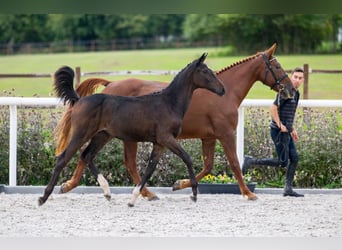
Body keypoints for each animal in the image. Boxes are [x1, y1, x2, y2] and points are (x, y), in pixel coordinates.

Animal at [38, 53, 224, 207]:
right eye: (205, 71)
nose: (222, 90)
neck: (169, 103)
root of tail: (79, 100)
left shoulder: (159, 143)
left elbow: (149, 169)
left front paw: (134, 199)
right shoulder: (167, 138)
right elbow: (187, 158)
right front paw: (193, 194)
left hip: (102, 135)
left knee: (87, 156)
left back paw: (107, 192)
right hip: (81, 134)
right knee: (63, 158)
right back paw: (43, 198)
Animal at [55, 43, 294, 201]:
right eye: (277, 67)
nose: (291, 90)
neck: (224, 94)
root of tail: (110, 86)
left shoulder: (208, 137)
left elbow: (208, 166)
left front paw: (180, 185)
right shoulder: (226, 134)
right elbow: (234, 163)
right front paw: (248, 193)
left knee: (94, 156)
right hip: (119, 136)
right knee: (111, 159)